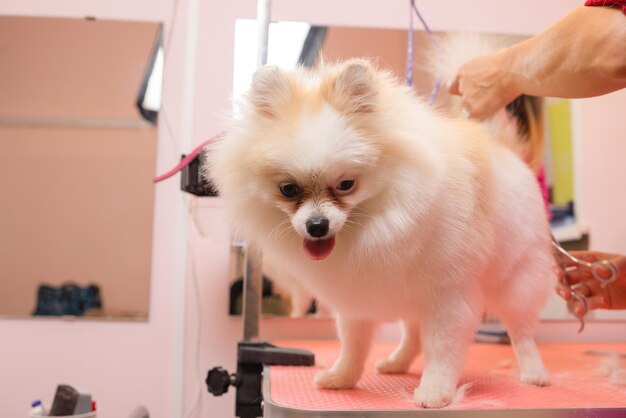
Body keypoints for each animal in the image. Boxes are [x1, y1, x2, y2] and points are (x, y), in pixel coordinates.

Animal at [205, 50, 552, 406]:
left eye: (346, 184)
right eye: (288, 189)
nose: (317, 226)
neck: (381, 225)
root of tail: (504, 149)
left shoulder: (448, 295)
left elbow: (442, 348)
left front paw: (435, 391)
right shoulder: (355, 296)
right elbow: (353, 343)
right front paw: (342, 377)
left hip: (517, 281)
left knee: (521, 331)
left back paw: (534, 373)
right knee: (413, 333)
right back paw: (397, 362)